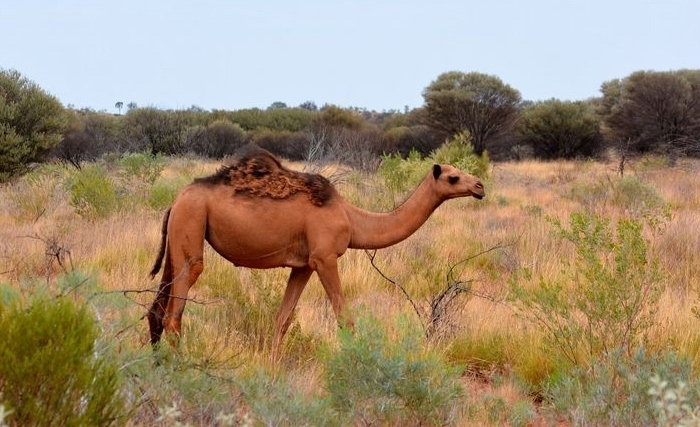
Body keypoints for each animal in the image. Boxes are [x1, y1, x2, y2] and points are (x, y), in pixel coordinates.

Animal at [146, 147, 486, 362]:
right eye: (453, 177)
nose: (480, 186)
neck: (352, 217)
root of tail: (175, 200)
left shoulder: (303, 265)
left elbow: (282, 319)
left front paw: (271, 369)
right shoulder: (325, 257)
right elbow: (345, 319)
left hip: (178, 238)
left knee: (157, 310)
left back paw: (157, 364)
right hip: (192, 225)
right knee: (176, 311)